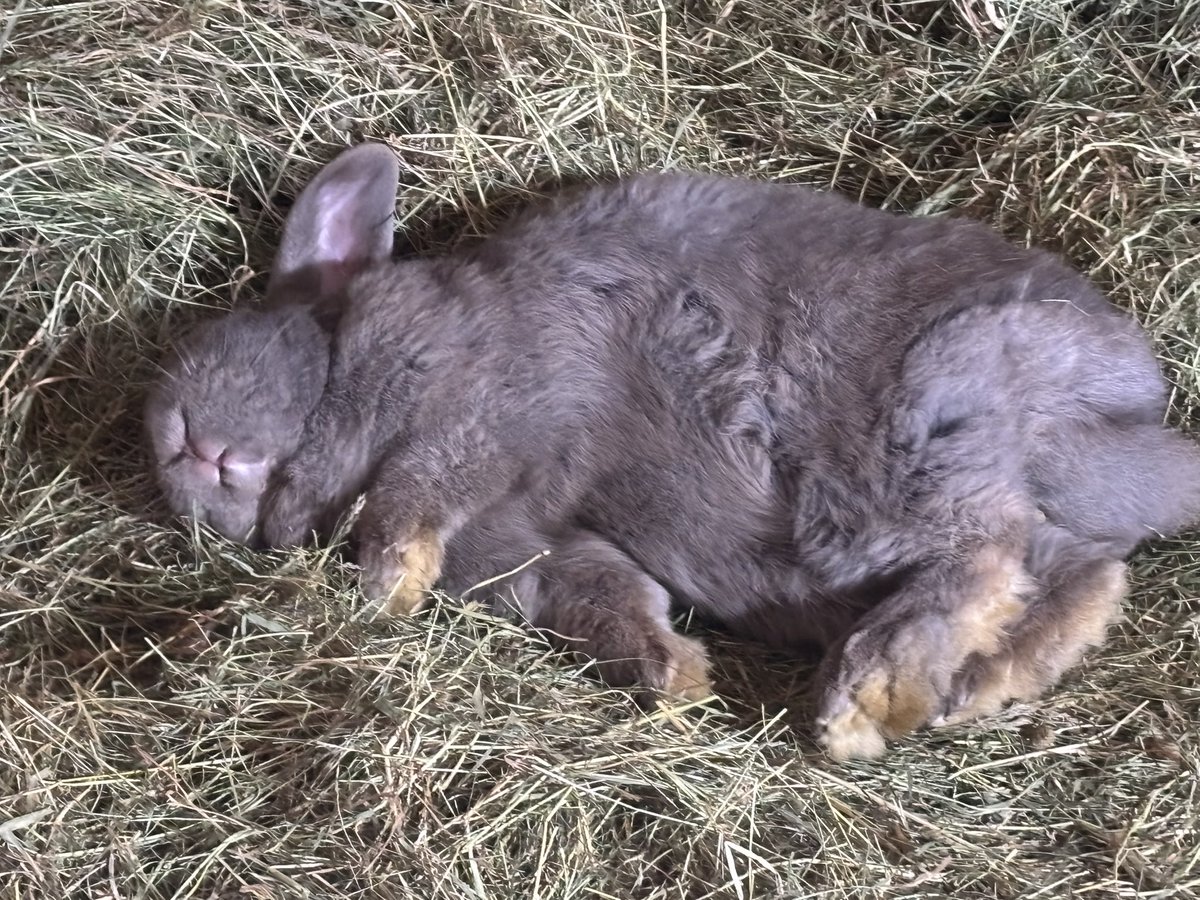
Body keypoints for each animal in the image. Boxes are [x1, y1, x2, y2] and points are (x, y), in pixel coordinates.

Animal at [144, 142, 1200, 759]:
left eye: (220, 345)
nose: (177, 448)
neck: (341, 361)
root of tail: (1120, 418)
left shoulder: (479, 400)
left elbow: (419, 485)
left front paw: (385, 583)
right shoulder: (531, 550)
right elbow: (603, 595)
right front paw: (676, 684)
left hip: (915, 441)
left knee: (985, 554)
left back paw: (865, 700)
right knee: (1077, 573)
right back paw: (972, 691)